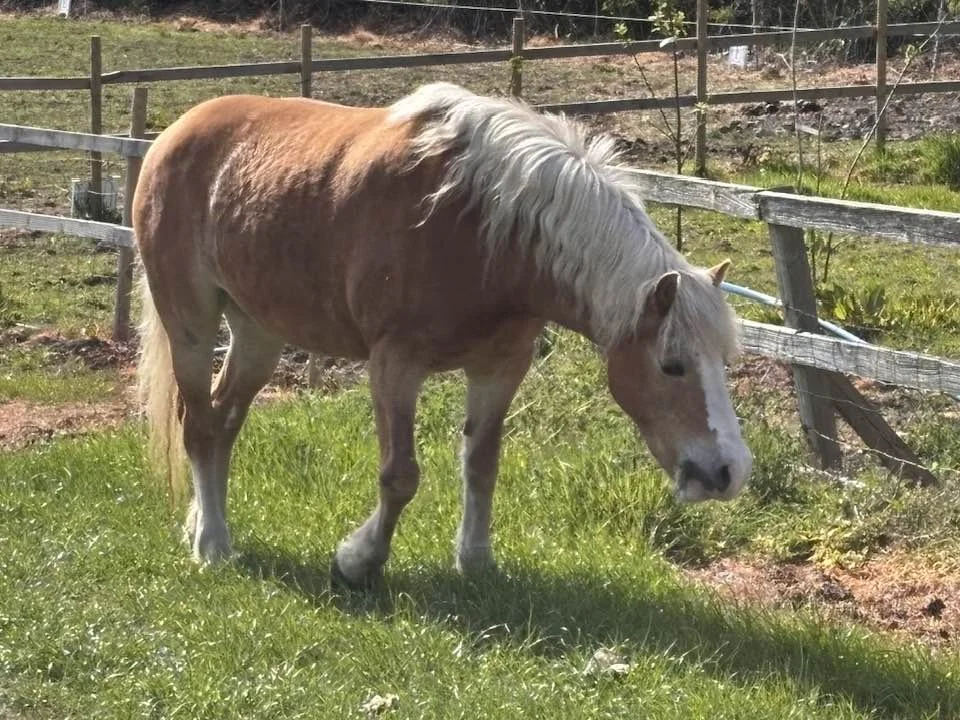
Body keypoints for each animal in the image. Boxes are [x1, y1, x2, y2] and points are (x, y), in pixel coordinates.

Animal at [134, 82, 752, 588]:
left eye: (722, 362)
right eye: (671, 364)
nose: (728, 472)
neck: (483, 229)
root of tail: (174, 133)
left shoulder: (502, 366)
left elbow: (482, 464)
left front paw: (475, 560)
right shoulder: (394, 364)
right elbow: (400, 476)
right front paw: (357, 561)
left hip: (257, 332)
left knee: (223, 419)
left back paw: (200, 523)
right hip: (190, 322)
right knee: (199, 426)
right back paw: (213, 545)